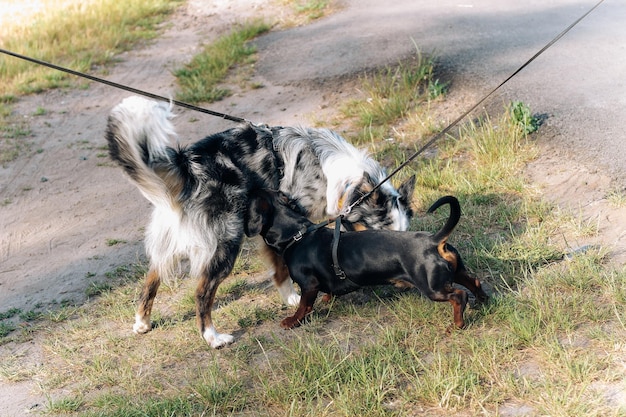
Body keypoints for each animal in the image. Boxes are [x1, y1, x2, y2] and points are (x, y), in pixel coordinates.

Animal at [105, 96, 414, 346]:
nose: (403, 282)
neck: (329, 170)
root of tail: (187, 165)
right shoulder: (288, 219)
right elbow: (282, 267)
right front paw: (293, 299)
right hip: (225, 243)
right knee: (202, 292)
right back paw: (213, 338)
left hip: (174, 240)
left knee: (152, 275)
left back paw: (142, 323)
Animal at [245, 188, 488, 328]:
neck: (298, 234)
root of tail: (433, 241)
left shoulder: (308, 285)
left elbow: (304, 306)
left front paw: (292, 321)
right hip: (456, 271)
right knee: (474, 282)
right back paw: (483, 301)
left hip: (432, 288)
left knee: (458, 296)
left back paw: (457, 324)